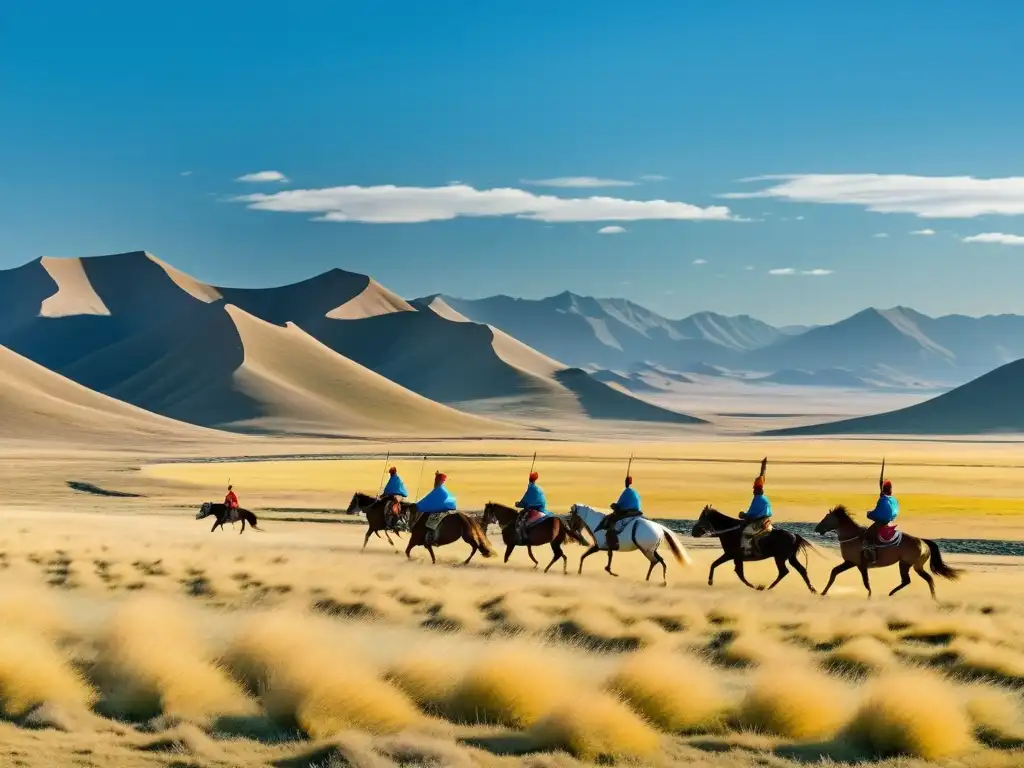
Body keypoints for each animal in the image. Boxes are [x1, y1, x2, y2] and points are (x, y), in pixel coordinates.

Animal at [811, 507, 962, 606]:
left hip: (904, 564)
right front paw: (822, 593)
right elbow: (834, 572)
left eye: (826, 518)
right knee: (927, 579)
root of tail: (922, 541)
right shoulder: (850, 562)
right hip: (916, 566)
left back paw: (891, 593)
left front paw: (870, 596)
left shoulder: (859, 565)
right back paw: (933, 598)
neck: (853, 537)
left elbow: (866, 582)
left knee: (907, 580)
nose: (817, 529)